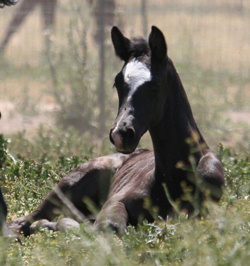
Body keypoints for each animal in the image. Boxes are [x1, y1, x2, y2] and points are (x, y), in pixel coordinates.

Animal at [9, 26, 225, 235]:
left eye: (155, 85)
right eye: (117, 83)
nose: (121, 134)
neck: (173, 177)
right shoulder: (116, 202)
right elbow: (108, 226)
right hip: (67, 187)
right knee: (25, 221)